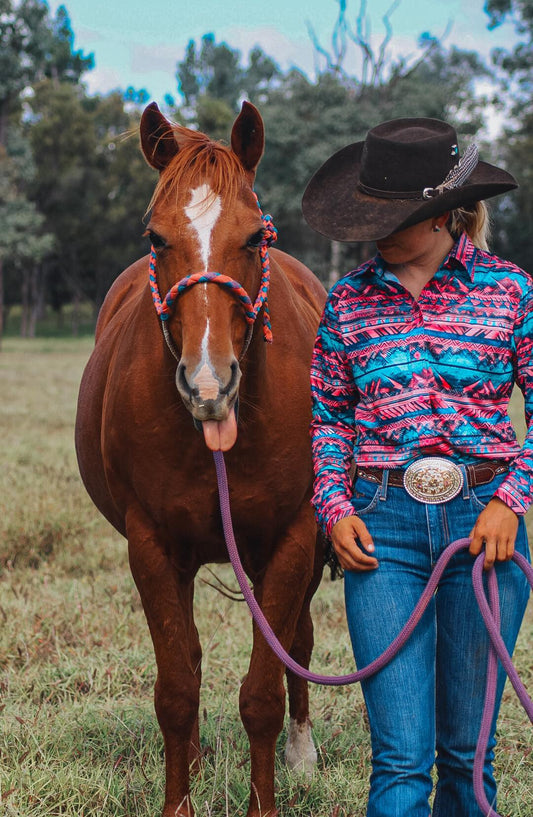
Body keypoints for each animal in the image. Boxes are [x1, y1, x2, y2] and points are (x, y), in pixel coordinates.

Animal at [73, 103, 326, 816]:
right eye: (157, 240)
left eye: (255, 238)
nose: (208, 384)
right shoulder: (152, 546)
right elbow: (177, 690)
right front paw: (178, 801)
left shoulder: (293, 540)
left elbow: (265, 692)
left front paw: (268, 799)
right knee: (188, 655)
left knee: (297, 643)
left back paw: (302, 755)